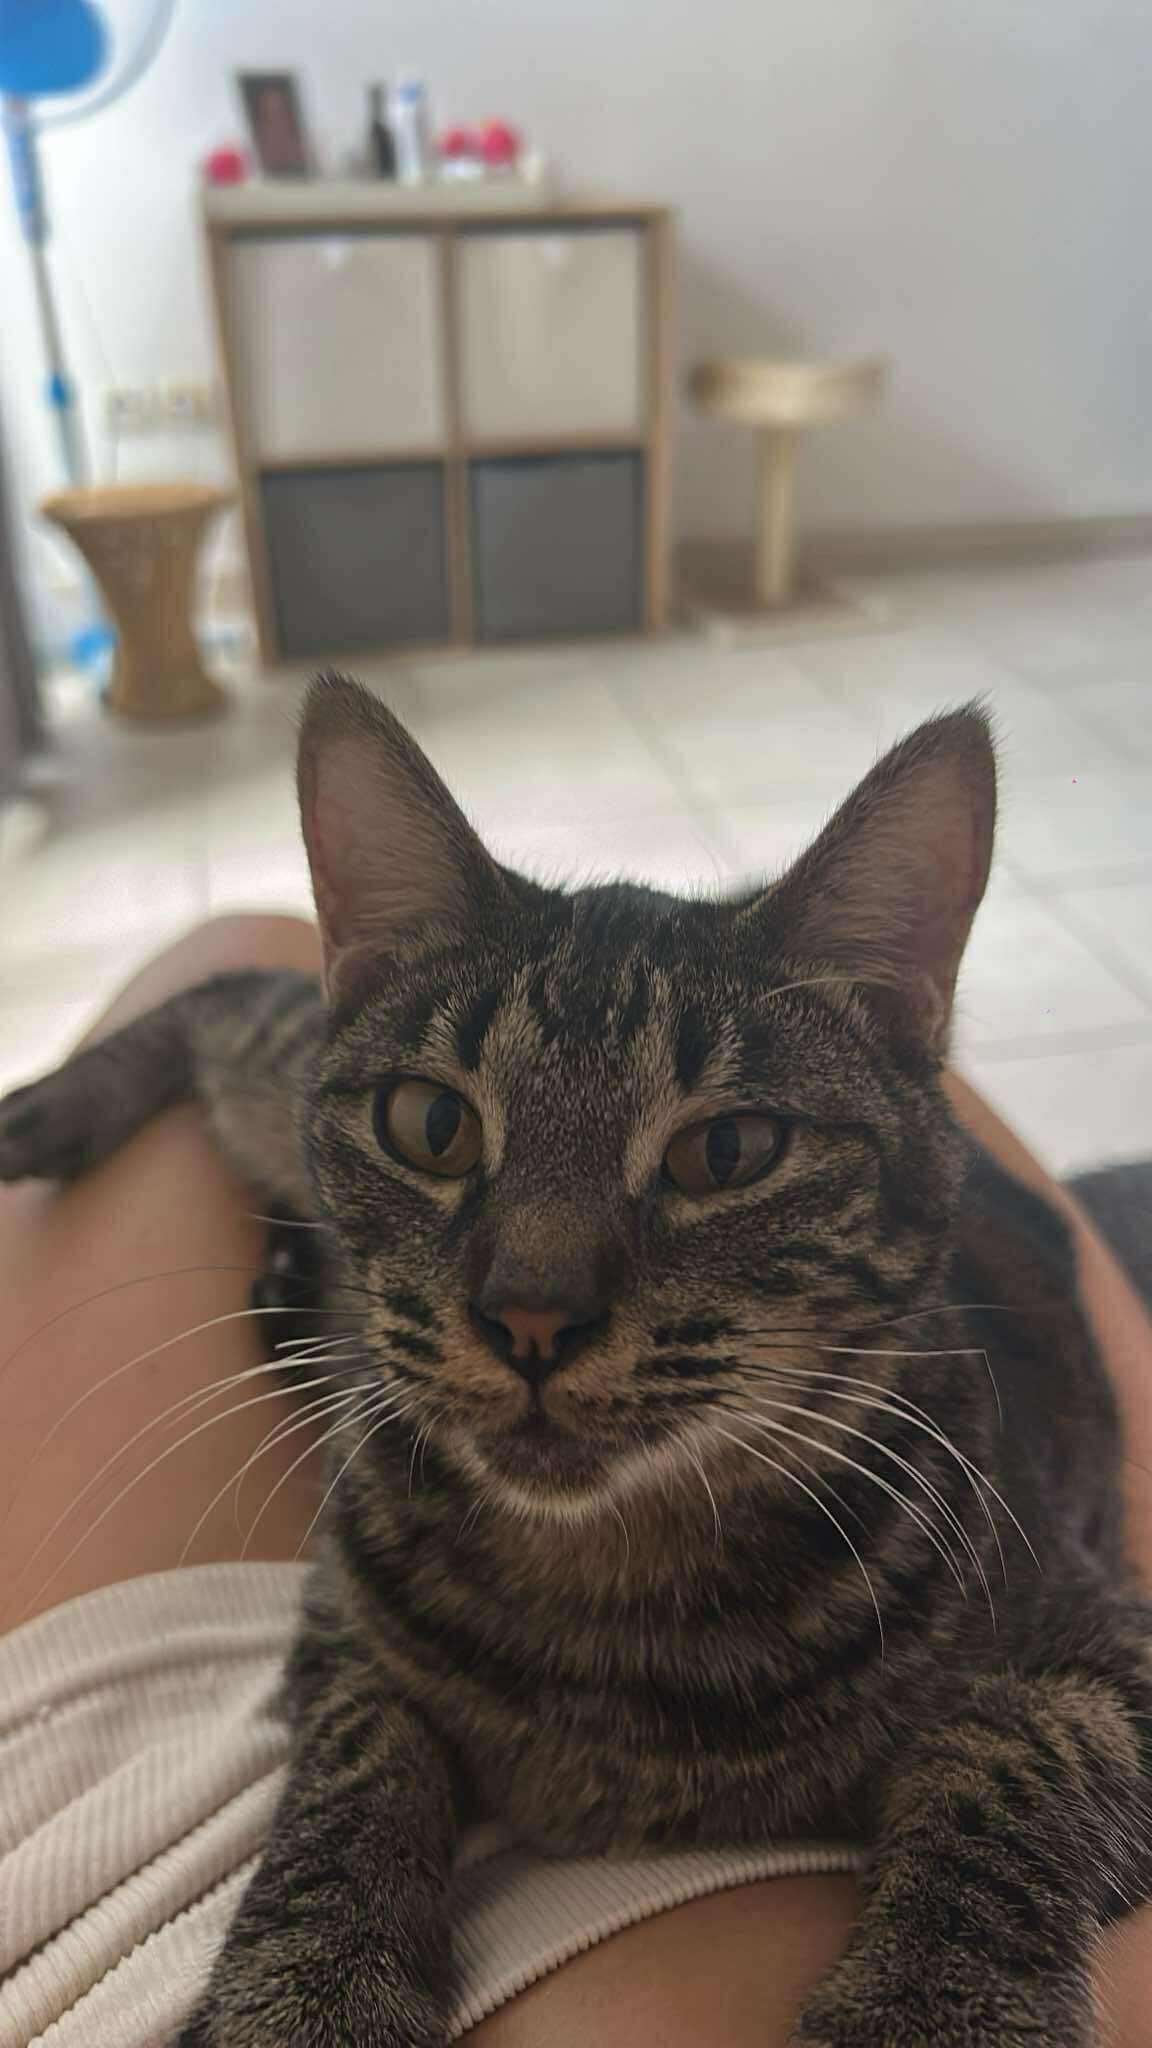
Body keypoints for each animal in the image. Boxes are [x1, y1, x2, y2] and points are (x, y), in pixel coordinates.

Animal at [1, 671, 1150, 2048]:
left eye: (731, 1150)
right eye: (430, 1125)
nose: (531, 1316)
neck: (607, 1585)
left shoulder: (1109, 1651)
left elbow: (1007, 1765)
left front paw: (929, 2005)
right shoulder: (339, 1636)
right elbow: (352, 1771)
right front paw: (310, 1995)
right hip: (268, 1067)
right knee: (231, 991)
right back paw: (54, 1112)